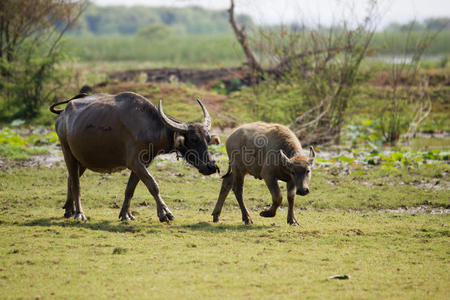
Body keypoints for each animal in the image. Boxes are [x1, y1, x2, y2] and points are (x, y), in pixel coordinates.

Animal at [50, 92, 220, 221]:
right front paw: (165, 213)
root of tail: (63, 113)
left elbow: (130, 189)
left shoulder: (142, 164)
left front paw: (126, 214)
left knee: (70, 179)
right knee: (76, 183)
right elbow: (153, 185)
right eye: (194, 139)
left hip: (83, 159)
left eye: (207, 138)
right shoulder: (135, 163)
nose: (211, 166)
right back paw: (79, 214)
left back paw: (69, 209)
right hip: (67, 152)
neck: (148, 127)